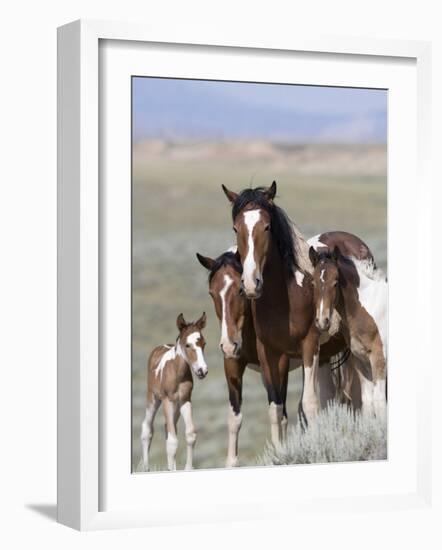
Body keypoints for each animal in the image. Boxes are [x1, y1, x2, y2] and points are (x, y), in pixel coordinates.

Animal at [142, 312, 210, 472]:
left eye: (203, 344)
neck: (177, 374)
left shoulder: (185, 400)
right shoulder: (167, 400)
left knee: (168, 427)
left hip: (176, 406)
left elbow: (190, 434)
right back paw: (146, 468)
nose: (202, 371)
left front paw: (187, 468)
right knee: (147, 428)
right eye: (187, 345)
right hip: (153, 398)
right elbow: (172, 441)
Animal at [308, 248, 386, 416]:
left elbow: (379, 402)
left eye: (336, 282)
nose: (322, 321)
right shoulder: (361, 360)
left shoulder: (379, 357)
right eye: (313, 283)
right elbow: (368, 401)